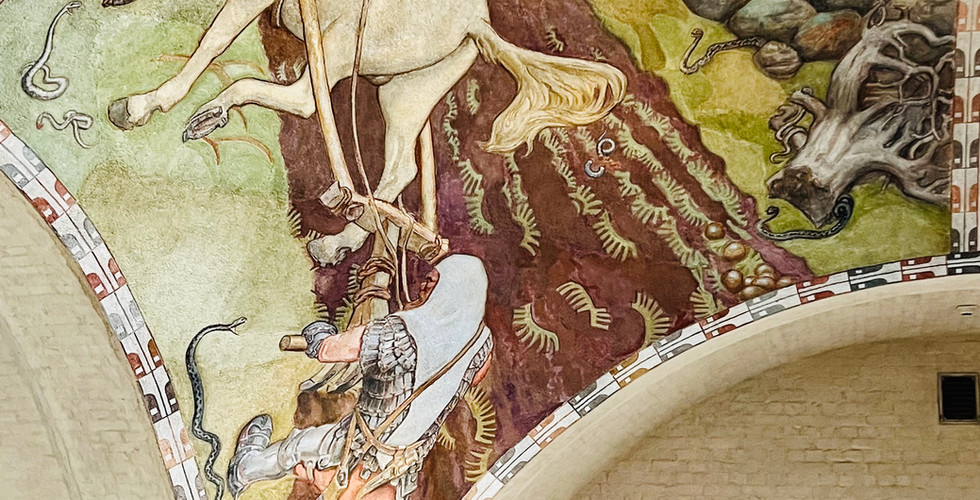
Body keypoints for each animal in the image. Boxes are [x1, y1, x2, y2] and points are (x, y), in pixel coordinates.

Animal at [107, 0, 627, 266]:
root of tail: (475, 21)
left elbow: (213, 40)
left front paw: (140, 106)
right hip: (402, 96)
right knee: (400, 171)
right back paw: (339, 243)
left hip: (342, 41)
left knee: (306, 100)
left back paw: (213, 112)